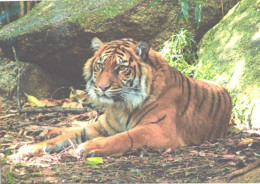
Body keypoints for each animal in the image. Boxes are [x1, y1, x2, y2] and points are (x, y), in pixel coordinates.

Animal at [18, 37, 234, 157]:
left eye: (121, 68)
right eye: (100, 65)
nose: (102, 87)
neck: (121, 106)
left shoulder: (160, 130)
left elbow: (124, 137)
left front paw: (89, 147)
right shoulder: (102, 126)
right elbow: (69, 135)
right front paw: (30, 148)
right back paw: (44, 130)